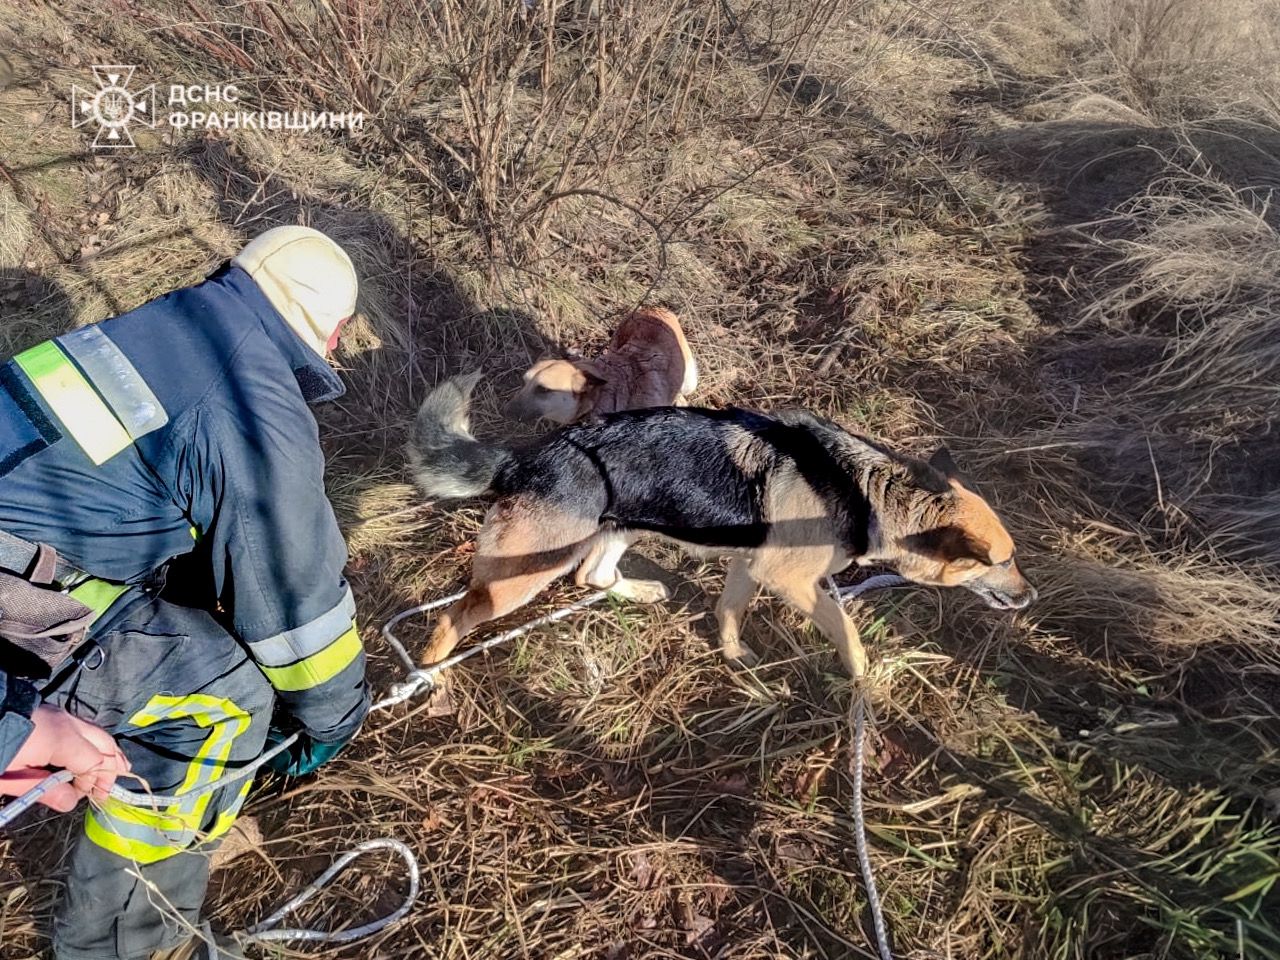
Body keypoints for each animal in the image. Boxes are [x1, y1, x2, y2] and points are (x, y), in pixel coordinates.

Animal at [409, 371, 1039, 680]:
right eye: (1002, 561)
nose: (1030, 596)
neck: (872, 489)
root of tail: (524, 458)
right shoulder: (791, 580)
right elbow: (845, 627)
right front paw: (863, 679)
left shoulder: (750, 564)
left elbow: (729, 609)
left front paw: (735, 659)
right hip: (521, 575)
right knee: (452, 618)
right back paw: (432, 679)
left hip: (620, 529)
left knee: (593, 577)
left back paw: (642, 590)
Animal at [504, 308, 701, 424]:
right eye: (524, 382)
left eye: (543, 389)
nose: (506, 411)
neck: (602, 396)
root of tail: (656, 307)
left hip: (690, 381)